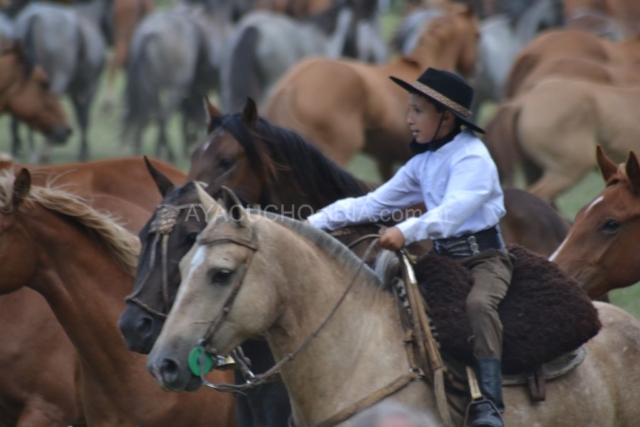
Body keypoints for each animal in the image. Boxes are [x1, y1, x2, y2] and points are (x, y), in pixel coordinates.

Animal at [12, 3, 106, 161]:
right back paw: (44, 150)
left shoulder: (76, 89)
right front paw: (83, 151)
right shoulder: (90, 86)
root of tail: (34, 18)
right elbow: (84, 117)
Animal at [123, 4, 233, 159]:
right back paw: (167, 152)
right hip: (174, 88)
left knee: (144, 115)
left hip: (151, 87)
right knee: (162, 116)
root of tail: (149, 34)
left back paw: (140, 149)